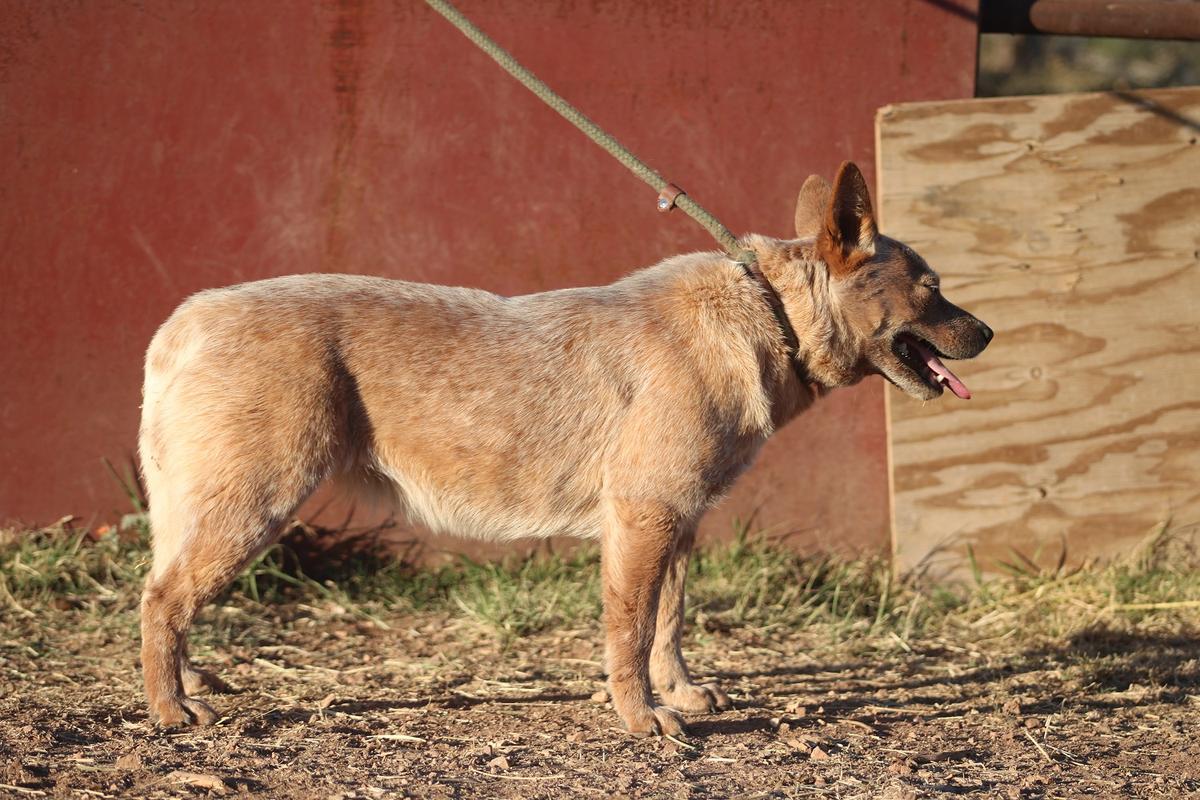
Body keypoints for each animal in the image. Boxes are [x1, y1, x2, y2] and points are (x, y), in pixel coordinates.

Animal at [138, 159, 993, 734]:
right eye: (930, 289)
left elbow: (670, 625)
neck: (767, 317)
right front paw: (644, 721)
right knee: (160, 600)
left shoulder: (680, 522)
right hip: (255, 505)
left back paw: (194, 682)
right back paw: (170, 709)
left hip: (210, 510)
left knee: (170, 594)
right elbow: (631, 631)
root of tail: (181, 321)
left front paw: (679, 693)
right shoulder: (642, 518)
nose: (988, 332)